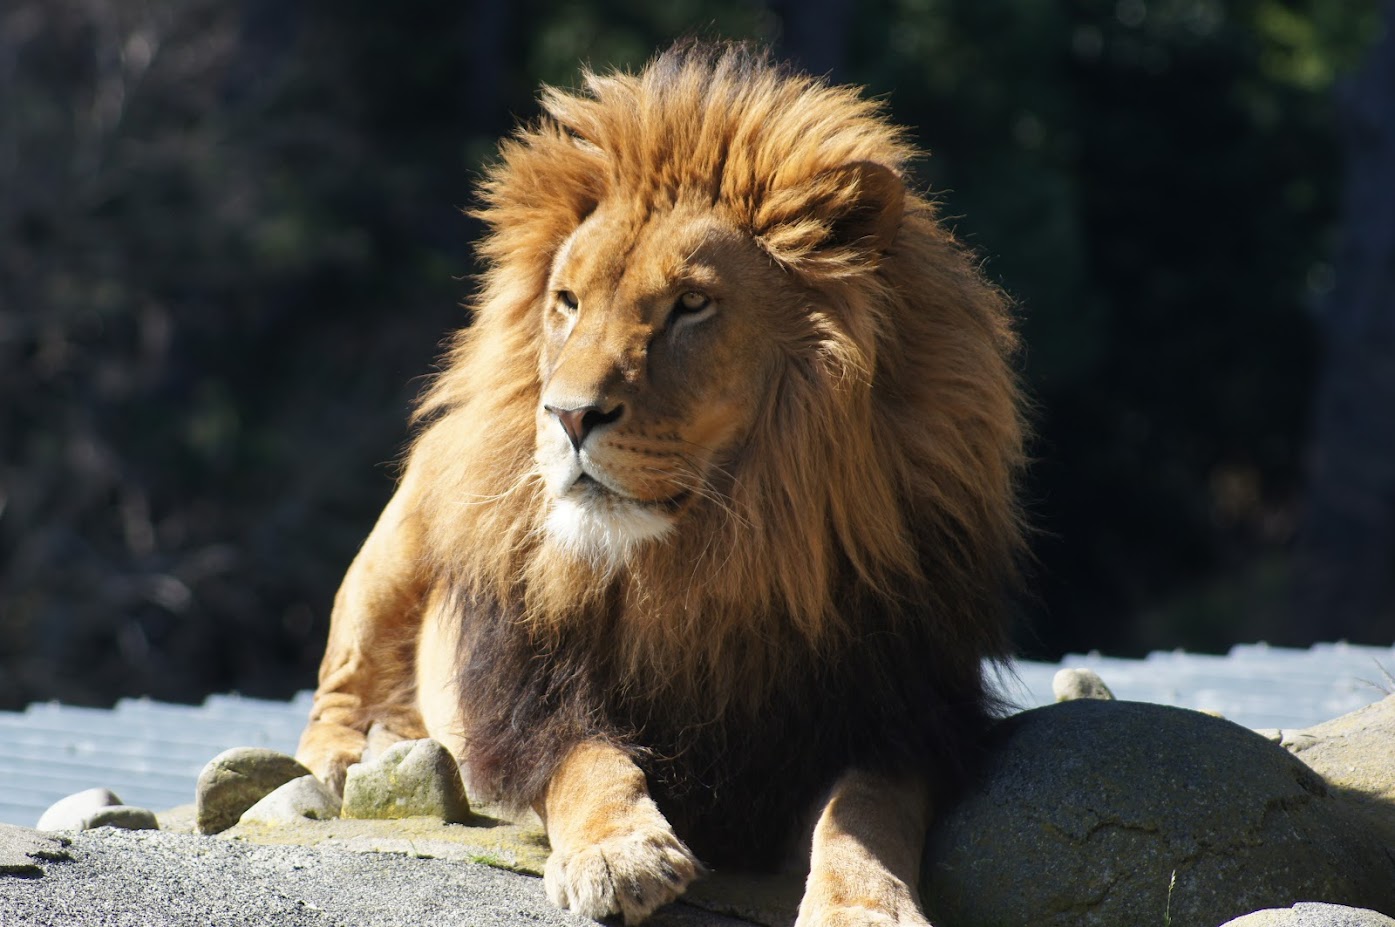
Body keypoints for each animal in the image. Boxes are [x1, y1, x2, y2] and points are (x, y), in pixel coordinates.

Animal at [296, 41, 1025, 927]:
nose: (568, 415)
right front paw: (617, 852)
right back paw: (367, 749)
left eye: (691, 303)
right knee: (343, 679)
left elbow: (864, 810)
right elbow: (586, 759)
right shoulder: (529, 699)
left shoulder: (903, 710)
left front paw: (863, 906)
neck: (718, 555)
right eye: (567, 302)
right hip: (406, 533)